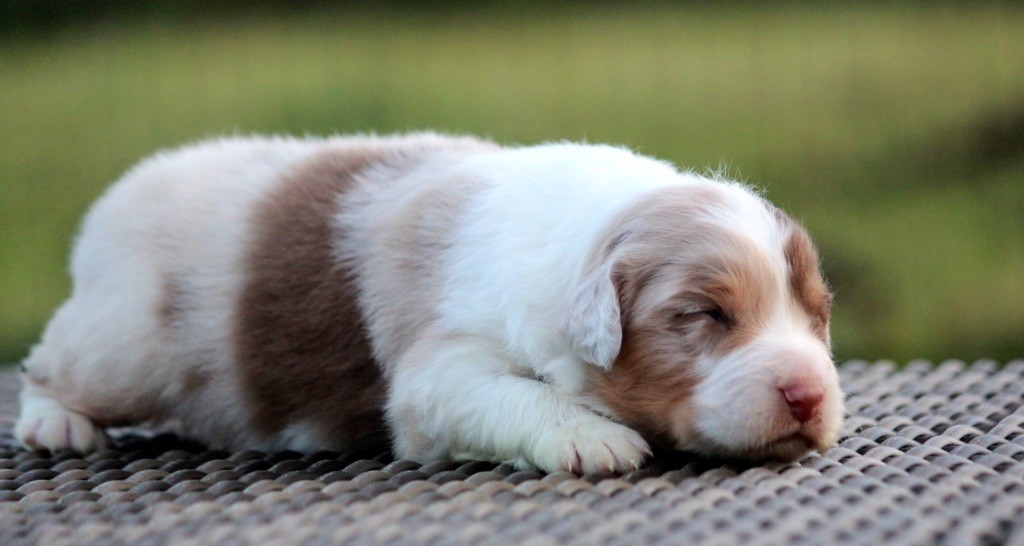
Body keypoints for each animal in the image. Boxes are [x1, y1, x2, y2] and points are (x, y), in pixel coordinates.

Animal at [16, 133, 843, 473]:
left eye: (817, 315)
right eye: (705, 316)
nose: (808, 394)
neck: (584, 238)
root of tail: (110, 203)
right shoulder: (438, 373)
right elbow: (514, 395)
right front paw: (592, 437)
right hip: (127, 341)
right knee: (50, 363)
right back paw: (56, 425)